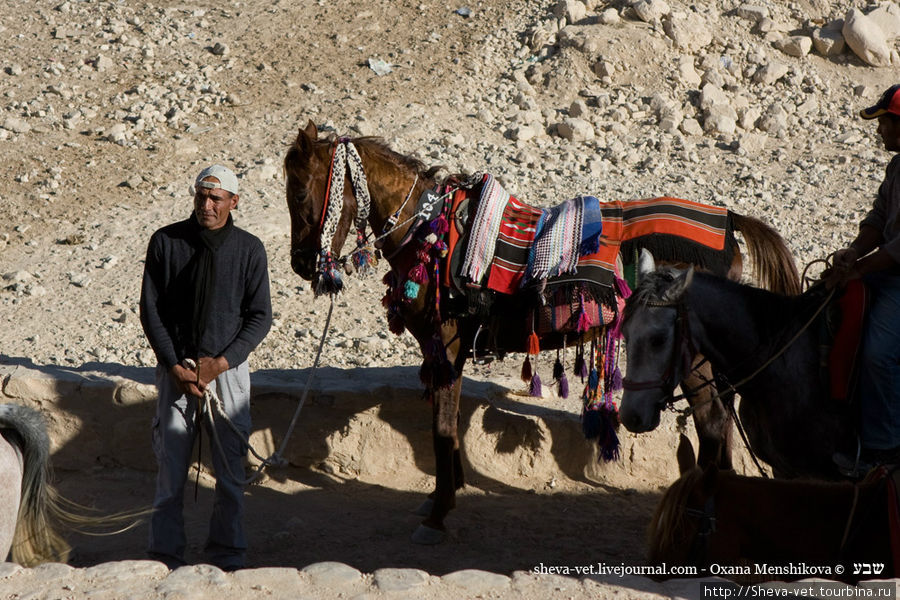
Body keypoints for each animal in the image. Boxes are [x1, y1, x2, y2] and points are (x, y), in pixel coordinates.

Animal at [284, 120, 800, 544]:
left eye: (302, 194)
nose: (301, 265)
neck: (432, 229)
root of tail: (729, 224)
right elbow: (446, 423)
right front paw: (443, 496)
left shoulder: (446, 346)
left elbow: (442, 428)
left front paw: (438, 513)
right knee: (721, 421)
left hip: (694, 357)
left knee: (712, 421)